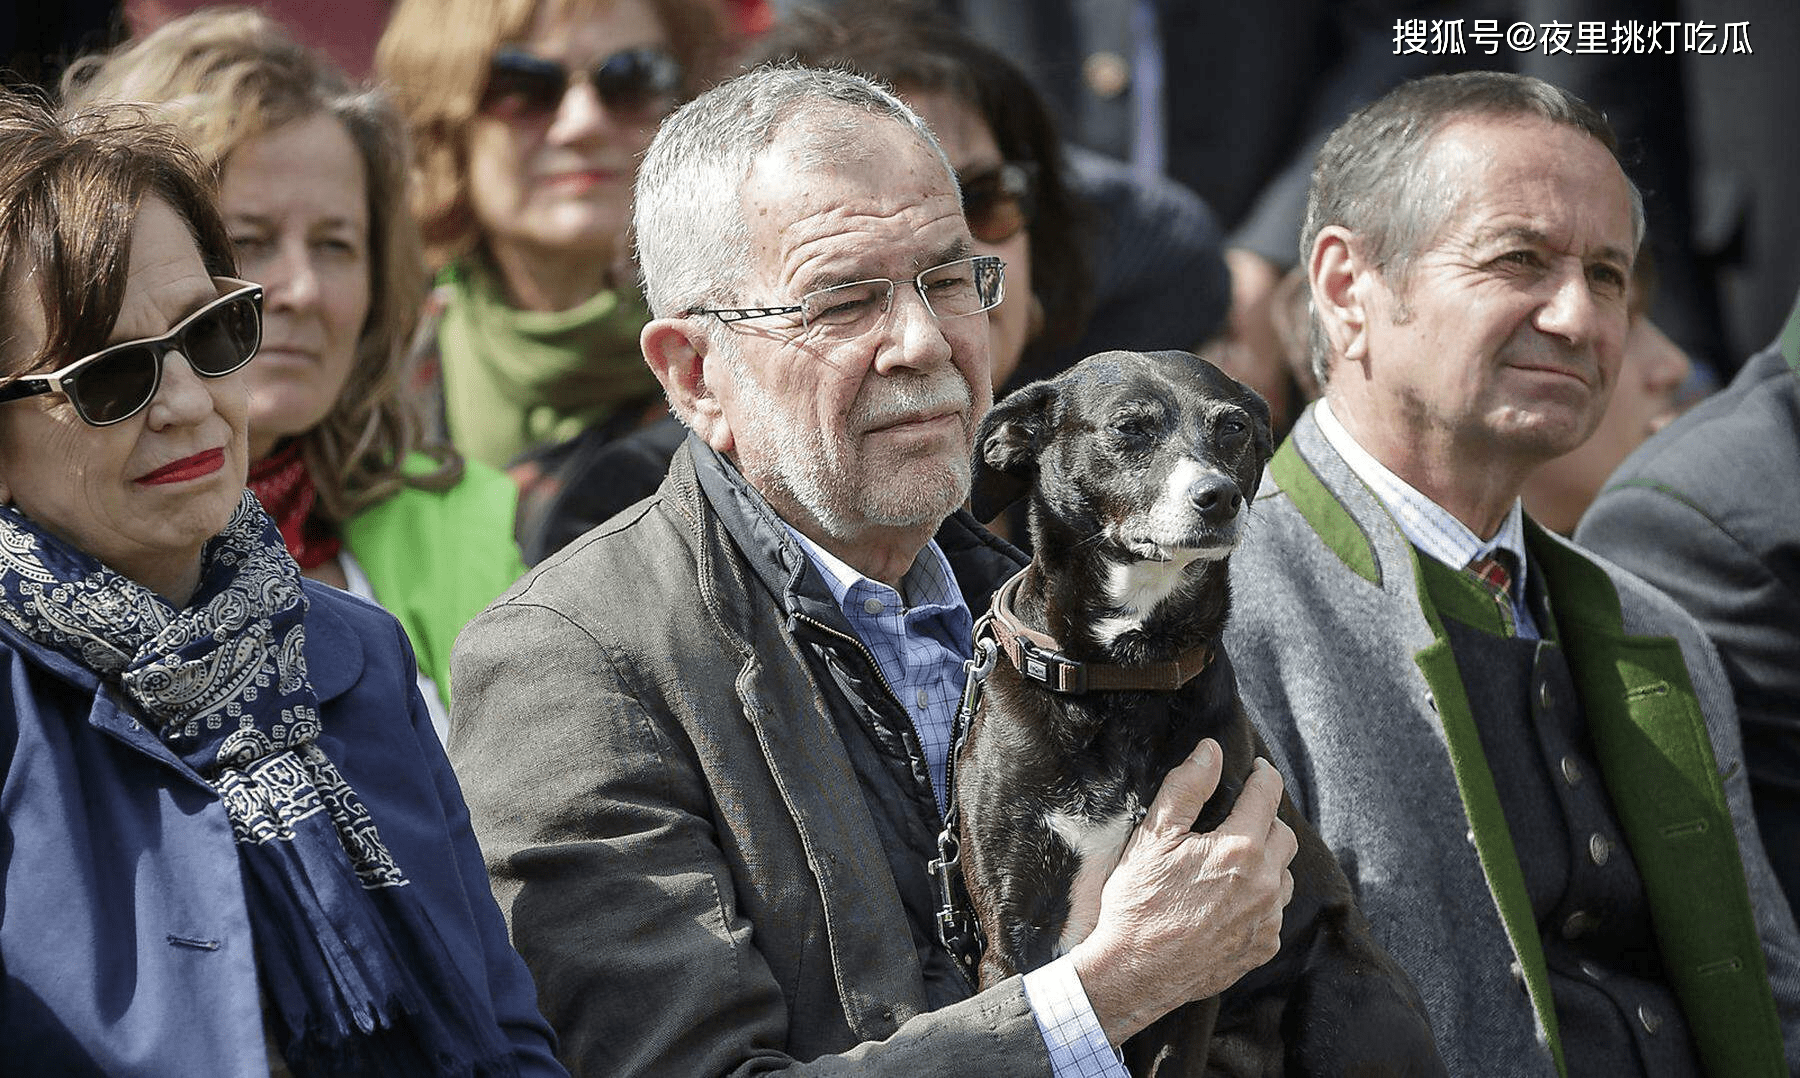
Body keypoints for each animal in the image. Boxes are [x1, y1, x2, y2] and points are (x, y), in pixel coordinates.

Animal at [957, 350, 1447, 1072]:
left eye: (1234, 427)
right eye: (1129, 428)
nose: (1218, 497)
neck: (1124, 679)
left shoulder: (1200, 950)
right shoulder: (1014, 936)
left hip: (1344, 990)